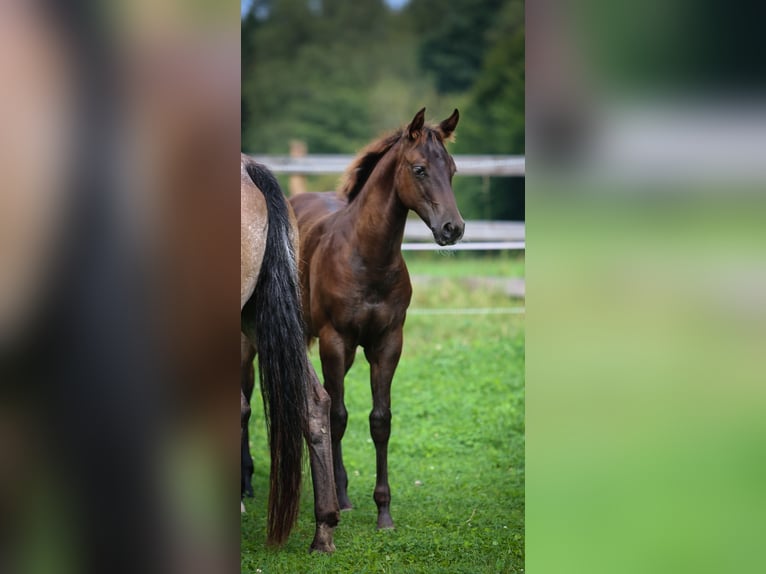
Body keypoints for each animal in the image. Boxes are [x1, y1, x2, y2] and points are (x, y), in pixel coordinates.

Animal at [290, 109, 464, 532]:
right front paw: (340, 500)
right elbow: (338, 415)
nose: (453, 228)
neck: (368, 258)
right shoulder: (335, 340)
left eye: (452, 169)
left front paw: (384, 511)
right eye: (419, 169)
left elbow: (380, 420)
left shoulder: (387, 343)